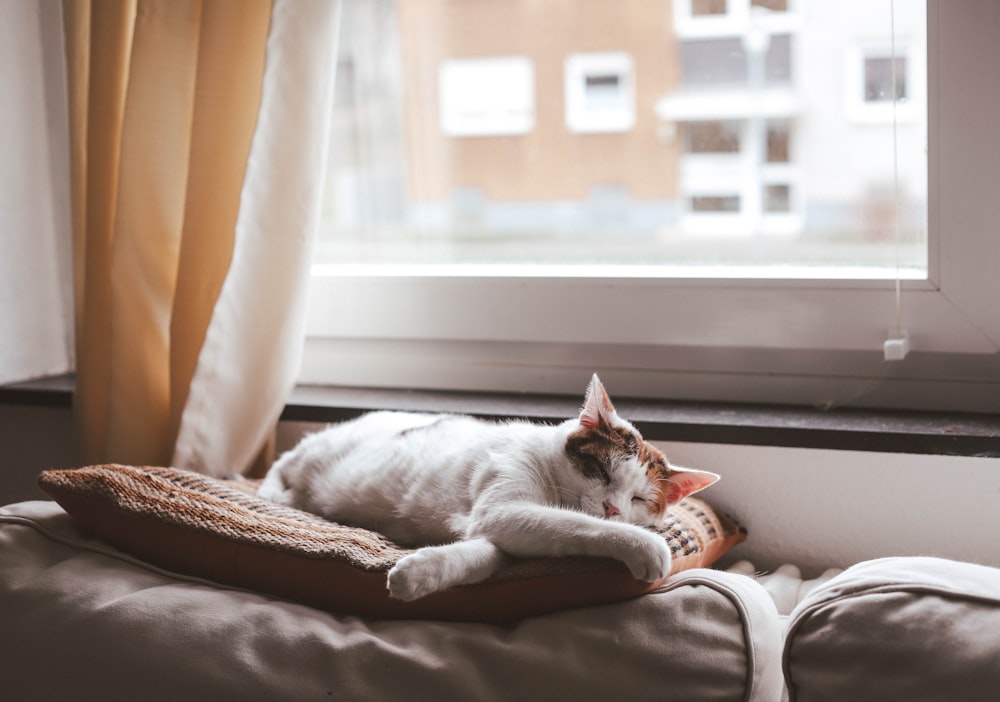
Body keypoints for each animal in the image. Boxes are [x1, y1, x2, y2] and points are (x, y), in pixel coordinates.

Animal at [258, 376, 724, 604]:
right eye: (603, 473)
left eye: (640, 499)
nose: (612, 508)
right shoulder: (503, 508)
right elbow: (579, 525)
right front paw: (646, 546)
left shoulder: (495, 526)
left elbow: (486, 554)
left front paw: (418, 573)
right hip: (316, 451)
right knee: (283, 463)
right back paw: (273, 493)